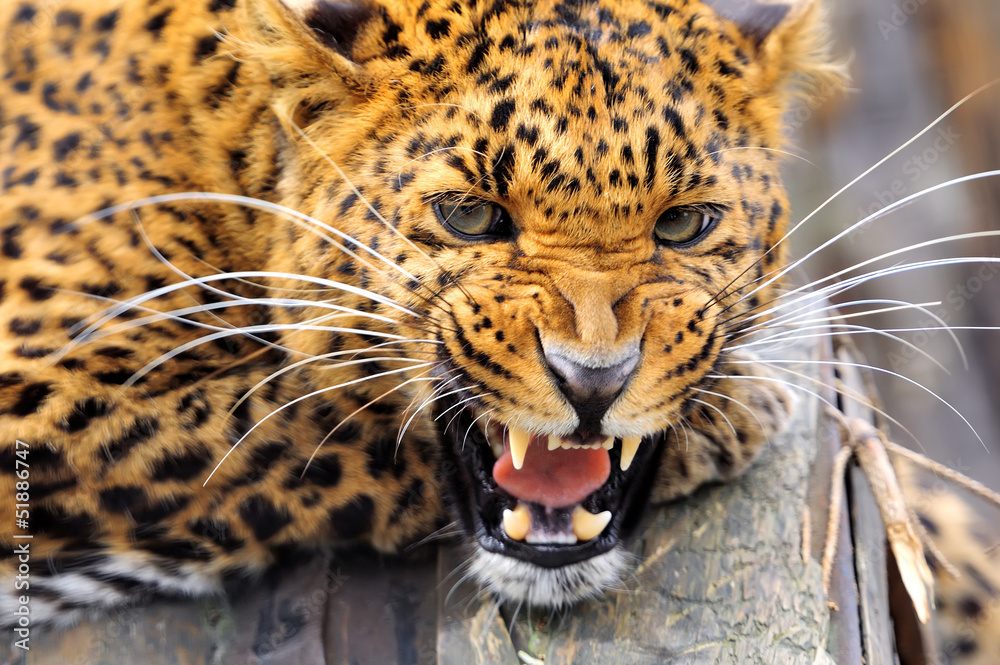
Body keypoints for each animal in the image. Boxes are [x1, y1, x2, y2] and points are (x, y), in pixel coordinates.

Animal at [0, 0, 997, 659]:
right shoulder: (40, 383)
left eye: (684, 224)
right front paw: (736, 414)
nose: (595, 381)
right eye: (472, 216)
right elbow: (287, 423)